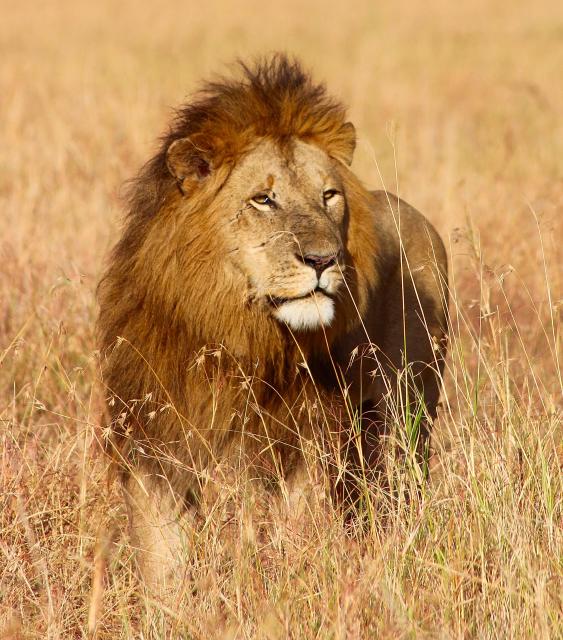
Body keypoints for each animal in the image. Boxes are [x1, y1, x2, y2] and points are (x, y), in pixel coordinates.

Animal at [97, 54, 448, 590]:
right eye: (264, 200)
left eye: (329, 195)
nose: (323, 259)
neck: (233, 330)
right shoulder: (154, 443)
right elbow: (162, 560)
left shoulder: (299, 448)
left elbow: (286, 541)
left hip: (403, 412)